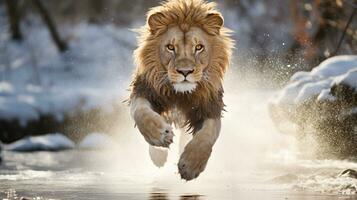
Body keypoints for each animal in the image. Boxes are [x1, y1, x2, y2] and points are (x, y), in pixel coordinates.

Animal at [129, 0, 234, 181]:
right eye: (170, 47)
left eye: (199, 47)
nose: (185, 72)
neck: (180, 94)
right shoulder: (144, 91)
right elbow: (141, 113)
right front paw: (160, 137)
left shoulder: (210, 106)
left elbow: (207, 135)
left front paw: (190, 166)